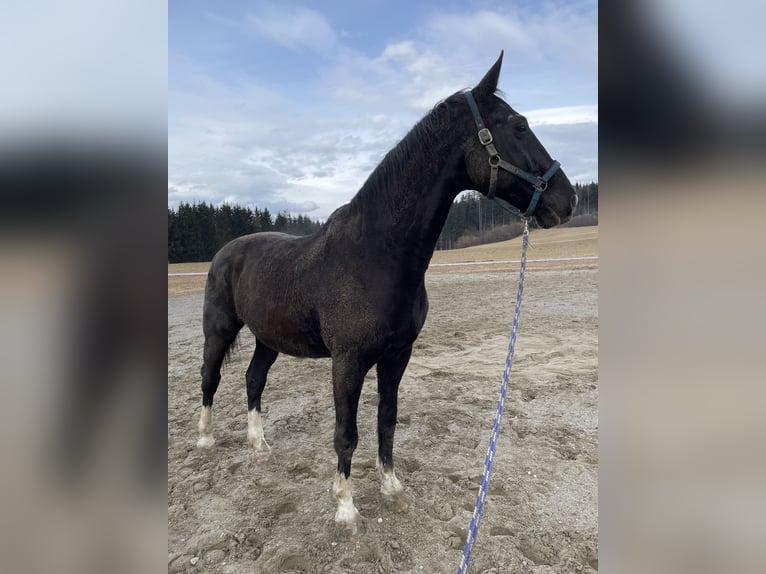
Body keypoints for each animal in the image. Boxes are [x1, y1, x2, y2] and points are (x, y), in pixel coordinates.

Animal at [195, 51, 580, 536]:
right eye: (519, 125)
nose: (567, 200)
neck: (375, 255)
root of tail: (227, 251)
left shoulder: (397, 356)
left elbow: (387, 421)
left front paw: (392, 489)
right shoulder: (348, 361)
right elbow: (346, 433)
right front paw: (345, 508)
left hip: (269, 338)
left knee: (253, 380)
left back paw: (260, 447)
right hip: (219, 330)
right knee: (210, 378)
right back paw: (205, 439)